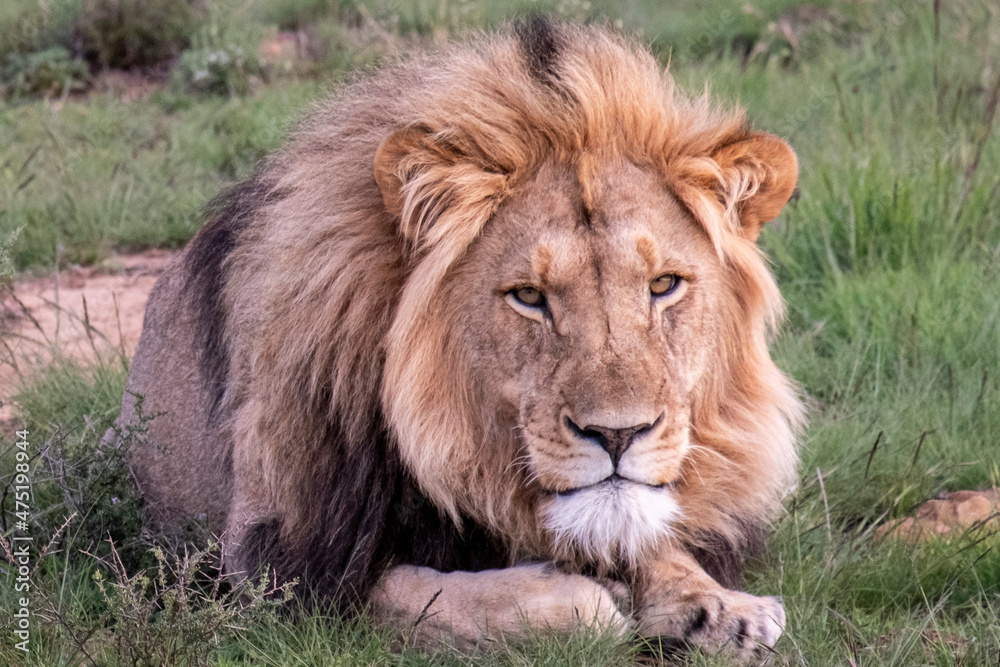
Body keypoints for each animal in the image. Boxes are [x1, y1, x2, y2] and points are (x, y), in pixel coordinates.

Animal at [111, 15, 804, 664]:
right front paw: (591, 599)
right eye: (529, 296)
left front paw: (721, 605)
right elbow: (446, 599)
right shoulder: (284, 568)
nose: (618, 434)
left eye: (663, 285)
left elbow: (644, 531)